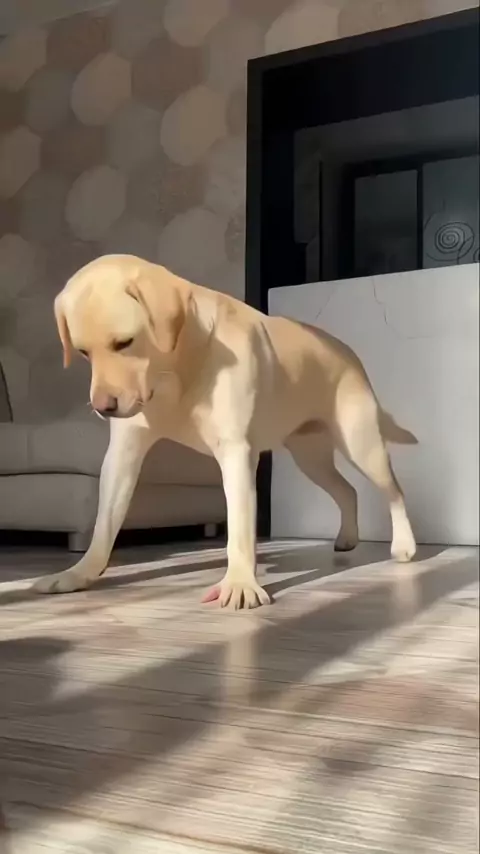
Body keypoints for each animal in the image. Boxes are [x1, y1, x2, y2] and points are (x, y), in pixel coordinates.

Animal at [33, 254, 418, 608]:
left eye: (125, 343)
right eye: (83, 352)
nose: (103, 407)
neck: (175, 370)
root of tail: (348, 351)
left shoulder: (236, 451)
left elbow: (240, 526)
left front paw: (240, 584)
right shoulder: (123, 455)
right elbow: (104, 524)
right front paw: (79, 573)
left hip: (361, 445)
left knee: (395, 491)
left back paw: (404, 545)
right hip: (311, 458)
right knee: (347, 491)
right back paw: (347, 538)